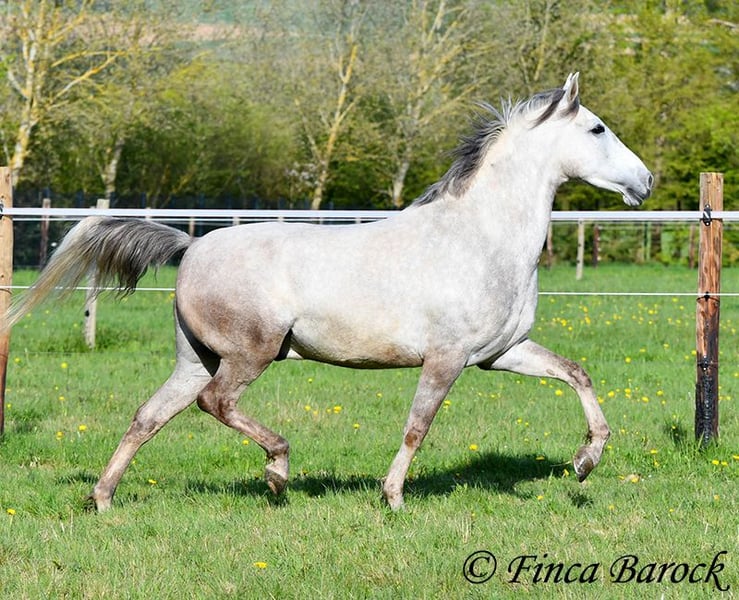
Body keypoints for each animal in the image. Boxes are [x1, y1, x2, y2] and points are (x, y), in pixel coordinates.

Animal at [4, 73, 652, 511]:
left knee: (148, 417)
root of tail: (191, 248)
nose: (645, 182)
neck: (479, 237)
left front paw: (585, 462)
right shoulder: (446, 359)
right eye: (597, 128)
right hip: (251, 353)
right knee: (216, 404)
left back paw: (103, 499)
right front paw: (392, 497)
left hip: (195, 358)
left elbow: (577, 374)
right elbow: (418, 426)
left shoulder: (499, 354)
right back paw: (278, 471)